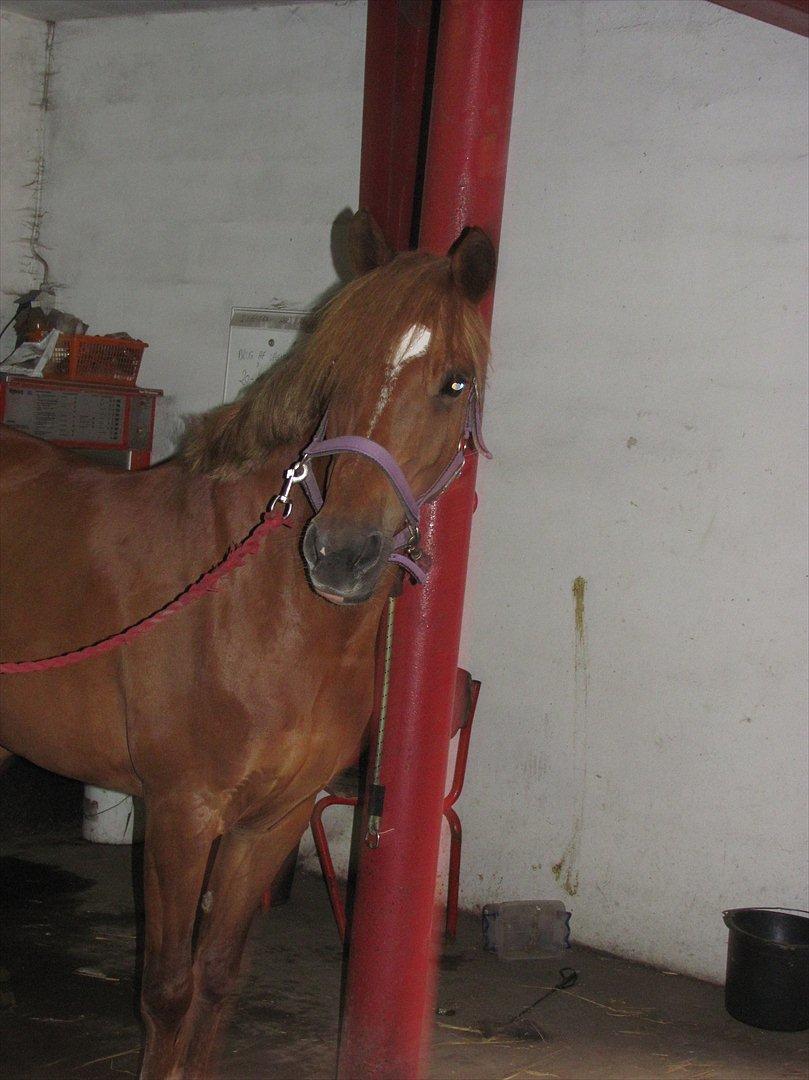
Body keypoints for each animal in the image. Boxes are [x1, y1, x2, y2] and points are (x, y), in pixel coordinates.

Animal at [0, 210, 495, 1078]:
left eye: (456, 382)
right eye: (336, 368)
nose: (340, 553)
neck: (263, 615)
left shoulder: (273, 823)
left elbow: (218, 983)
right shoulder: (180, 815)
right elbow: (167, 992)